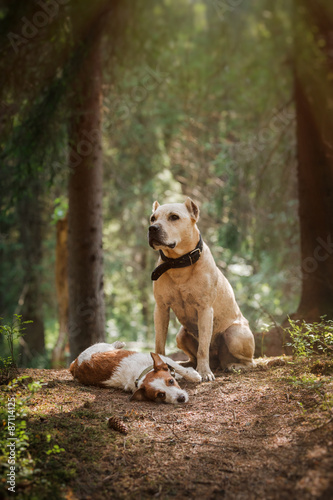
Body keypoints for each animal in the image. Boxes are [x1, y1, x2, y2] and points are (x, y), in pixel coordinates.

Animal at [68, 342, 201, 404]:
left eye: (171, 381)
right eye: (160, 395)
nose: (181, 398)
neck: (141, 372)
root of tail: (75, 363)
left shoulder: (165, 360)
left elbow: (180, 368)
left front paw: (192, 375)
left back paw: (119, 344)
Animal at [148, 197, 254, 380]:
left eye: (174, 217)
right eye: (152, 219)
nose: (152, 228)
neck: (178, 263)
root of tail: (218, 362)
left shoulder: (204, 309)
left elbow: (203, 347)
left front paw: (204, 372)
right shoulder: (161, 308)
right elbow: (159, 344)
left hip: (233, 334)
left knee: (250, 362)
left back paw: (234, 366)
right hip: (181, 335)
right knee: (193, 357)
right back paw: (185, 365)